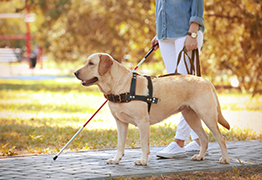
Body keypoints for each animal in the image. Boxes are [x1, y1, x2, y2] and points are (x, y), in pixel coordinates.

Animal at [73, 52, 229, 165]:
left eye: (91, 63)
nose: (75, 72)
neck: (120, 86)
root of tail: (207, 81)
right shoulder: (121, 123)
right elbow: (120, 145)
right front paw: (116, 160)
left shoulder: (143, 122)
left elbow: (144, 144)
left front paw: (143, 161)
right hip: (191, 117)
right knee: (204, 138)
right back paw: (200, 156)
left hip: (207, 116)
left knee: (220, 138)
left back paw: (225, 159)